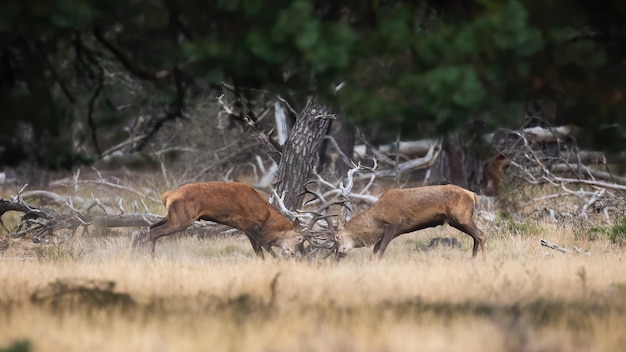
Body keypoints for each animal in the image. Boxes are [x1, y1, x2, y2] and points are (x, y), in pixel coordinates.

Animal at [146, 182, 302, 258]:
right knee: (155, 232)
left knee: (151, 227)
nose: (293, 253)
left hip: (171, 216)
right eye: (300, 238)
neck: (266, 219)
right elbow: (267, 247)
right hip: (182, 219)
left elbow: (259, 252)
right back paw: (152, 259)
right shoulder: (249, 225)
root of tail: (168, 195)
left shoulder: (245, 229)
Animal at [330, 184, 486, 258]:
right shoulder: (396, 230)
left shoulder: (393, 224)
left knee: (481, 234)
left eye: (336, 237)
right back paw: (473, 258)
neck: (376, 219)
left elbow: (381, 247)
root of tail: (473, 195)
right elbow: (375, 248)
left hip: (461, 217)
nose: (339, 253)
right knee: (476, 236)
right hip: (458, 220)